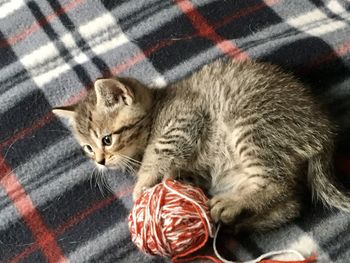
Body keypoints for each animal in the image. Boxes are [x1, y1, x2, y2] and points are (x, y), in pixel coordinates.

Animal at [53, 59, 348, 233]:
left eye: (106, 139)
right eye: (87, 149)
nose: (100, 161)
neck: (158, 107)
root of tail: (325, 129)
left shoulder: (185, 120)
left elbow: (157, 152)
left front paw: (141, 187)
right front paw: (175, 179)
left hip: (250, 124)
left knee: (279, 184)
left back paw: (232, 206)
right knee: (291, 206)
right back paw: (239, 220)